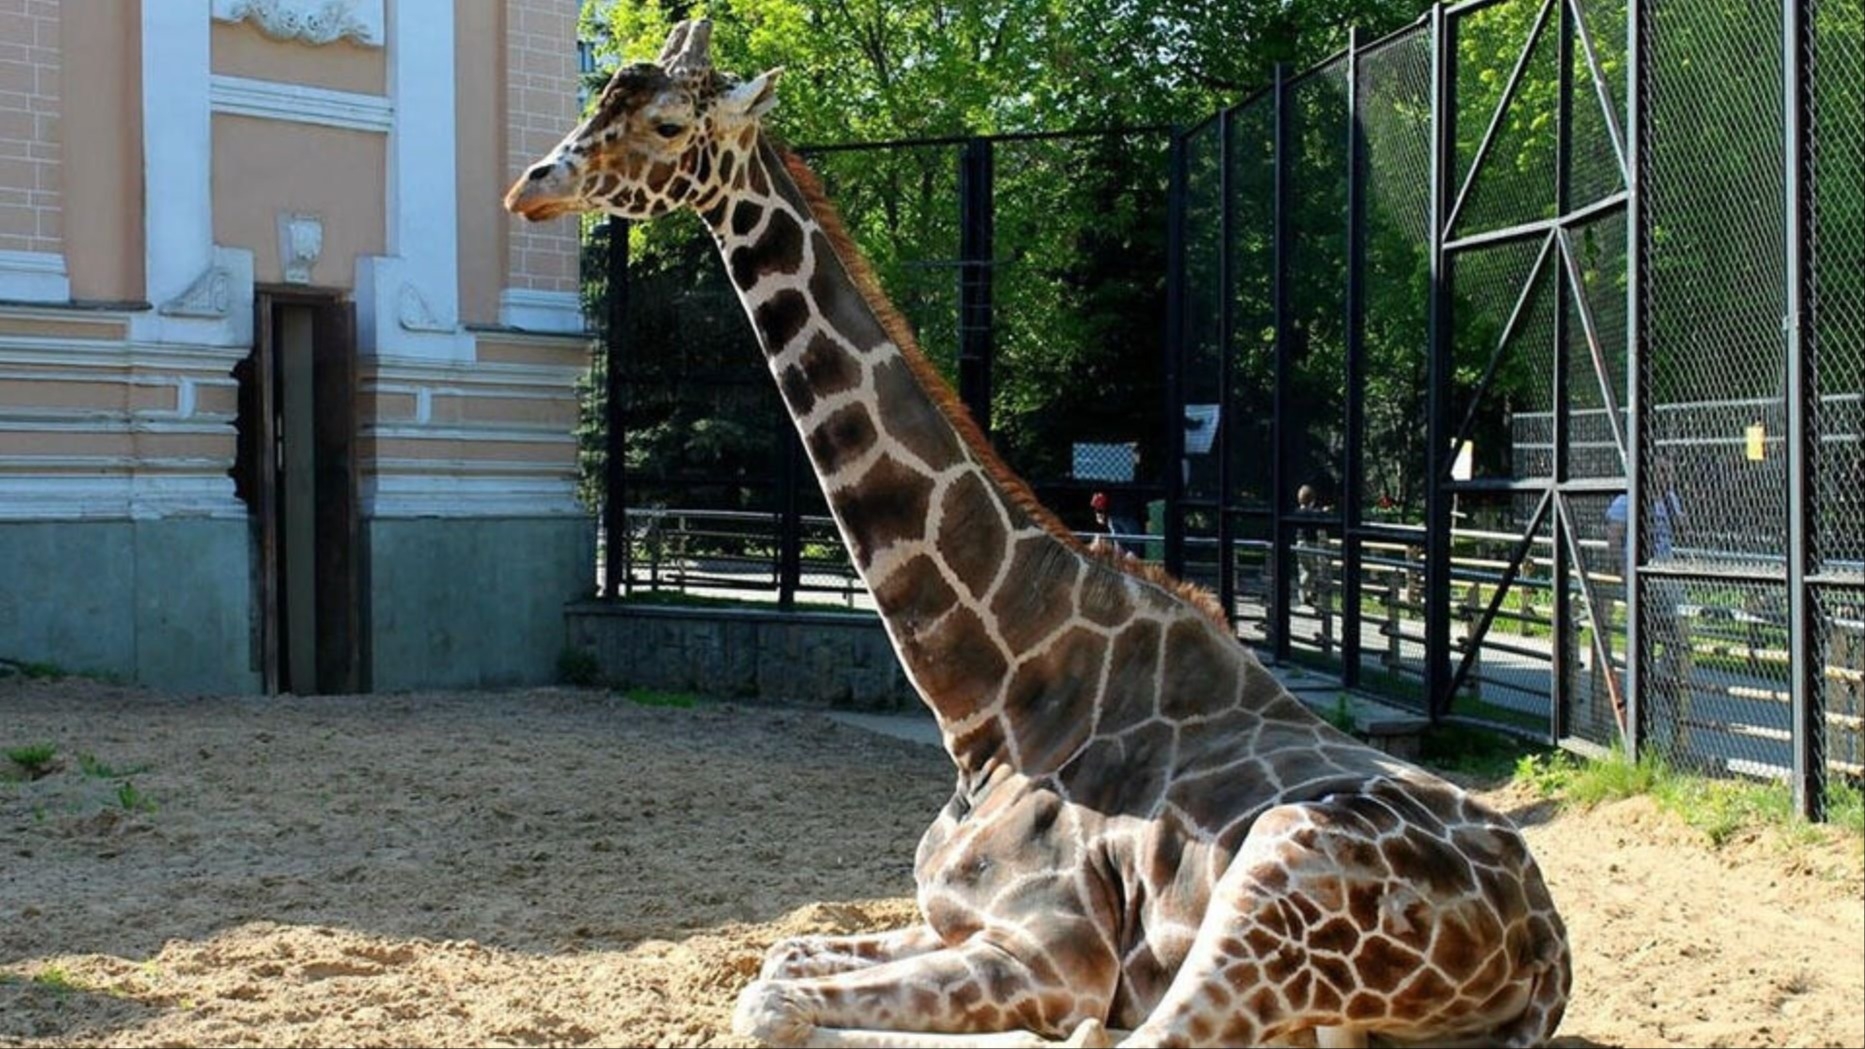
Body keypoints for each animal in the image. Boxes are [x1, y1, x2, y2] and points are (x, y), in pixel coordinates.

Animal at [511, 20, 1574, 1037]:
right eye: (602, 100)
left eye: (666, 124)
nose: (532, 187)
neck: (994, 699)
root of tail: (1544, 942)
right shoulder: (945, 918)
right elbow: (781, 955)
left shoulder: (1058, 958)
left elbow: (773, 1003)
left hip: (1280, 869)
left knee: (1149, 1037)